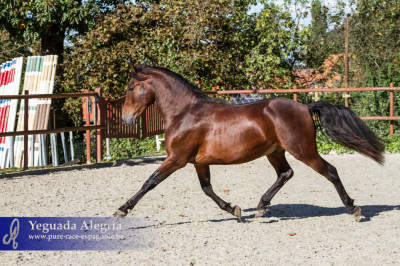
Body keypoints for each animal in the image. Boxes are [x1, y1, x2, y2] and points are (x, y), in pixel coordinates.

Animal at [113, 65, 384, 222]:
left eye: (131, 87)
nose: (126, 119)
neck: (185, 112)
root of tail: (305, 108)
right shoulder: (197, 162)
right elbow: (207, 188)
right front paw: (234, 209)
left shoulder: (176, 159)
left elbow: (149, 182)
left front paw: (122, 208)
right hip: (275, 152)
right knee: (286, 173)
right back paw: (262, 206)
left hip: (303, 151)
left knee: (330, 171)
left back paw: (354, 209)